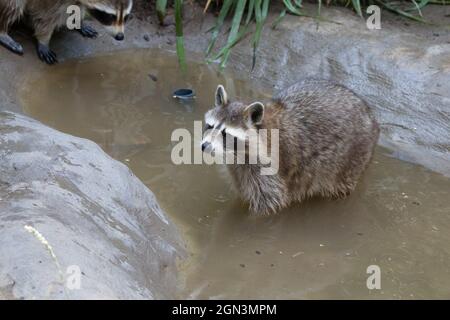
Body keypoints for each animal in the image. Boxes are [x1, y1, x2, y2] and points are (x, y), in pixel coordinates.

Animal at [0, 0, 133, 64]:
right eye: (110, 16)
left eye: (126, 17)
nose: (120, 36)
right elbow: (46, 14)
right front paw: (43, 40)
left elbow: (77, 7)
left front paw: (78, 21)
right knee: (13, 4)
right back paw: (3, 32)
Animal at [201, 79, 380, 215]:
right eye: (210, 126)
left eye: (225, 134)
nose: (204, 146)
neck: (237, 153)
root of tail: (369, 114)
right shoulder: (239, 169)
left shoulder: (268, 171)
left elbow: (270, 204)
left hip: (350, 159)